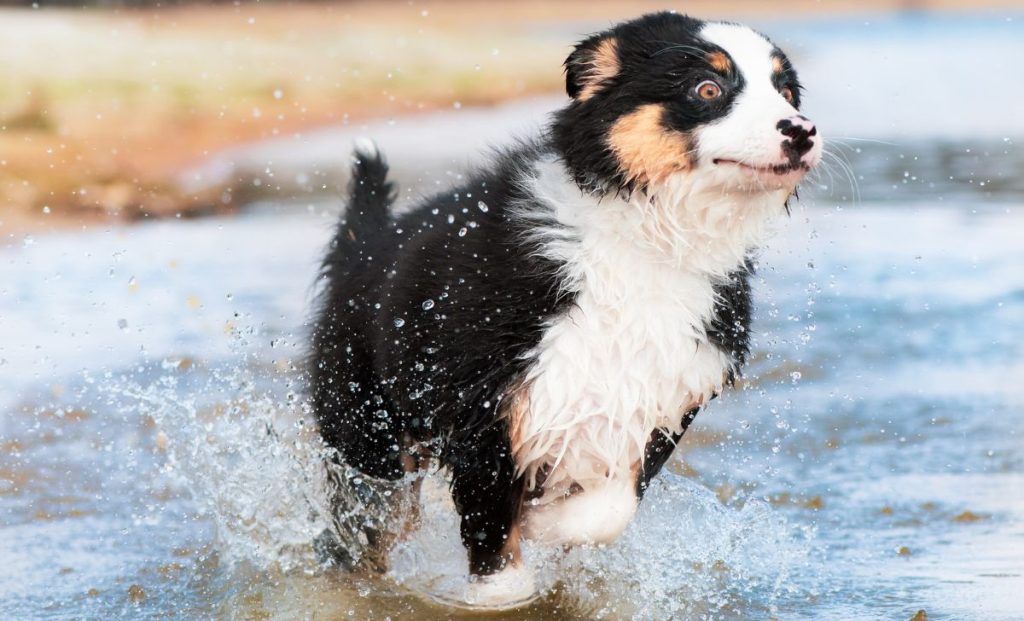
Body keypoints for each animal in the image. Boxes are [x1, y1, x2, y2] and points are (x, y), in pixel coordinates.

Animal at [305, 9, 823, 610]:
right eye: (708, 89)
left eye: (786, 92)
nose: (802, 131)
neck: (647, 245)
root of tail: (366, 244)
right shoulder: (487, 404)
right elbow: (495, 542)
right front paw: (502, 585)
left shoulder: (663, 400)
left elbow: (607, 509)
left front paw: (546, 521)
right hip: (369, 434)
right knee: (362, 528)